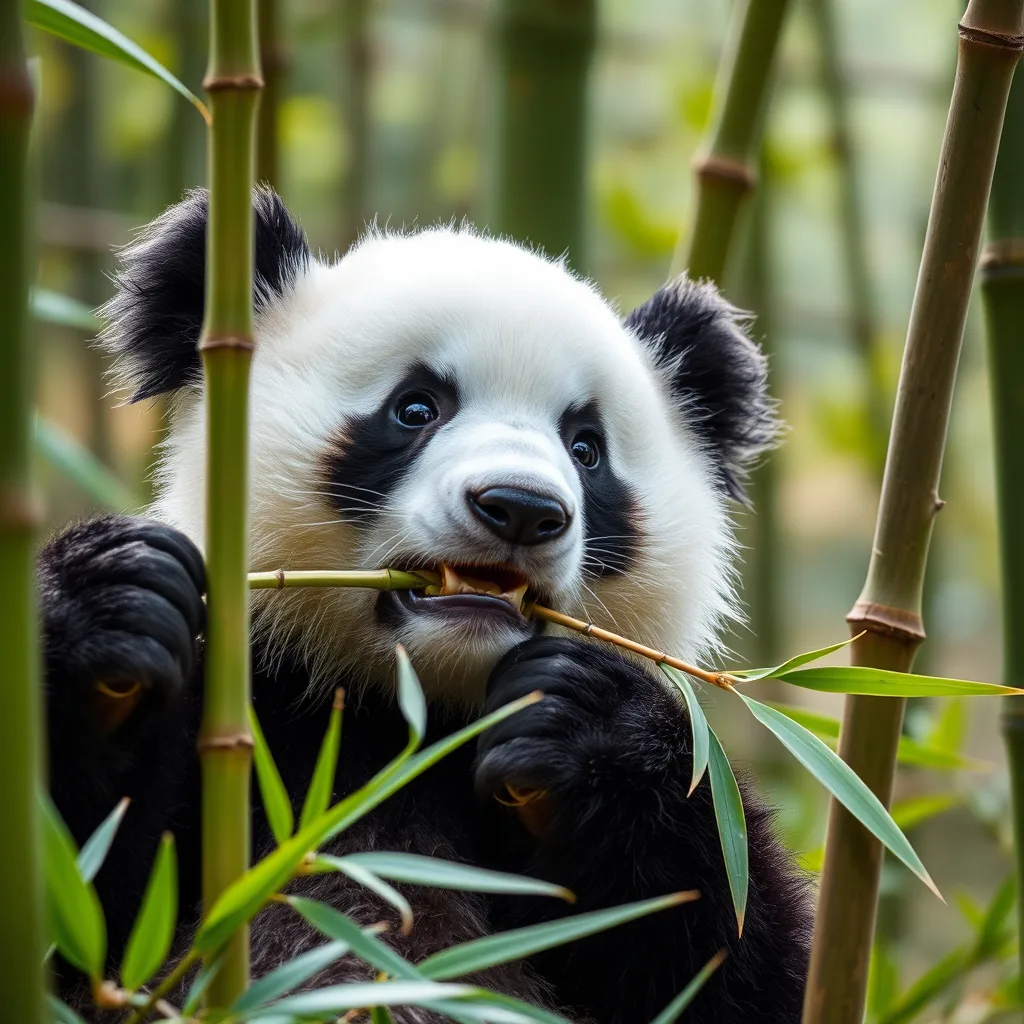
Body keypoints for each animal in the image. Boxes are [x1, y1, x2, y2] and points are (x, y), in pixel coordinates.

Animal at [42, 187, 810, 1023]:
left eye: (586, 448)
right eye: (416, 409)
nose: (520, 508)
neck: (408, 714)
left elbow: (739, 952)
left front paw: (582, 720)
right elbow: (79, 899)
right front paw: (113, 617)